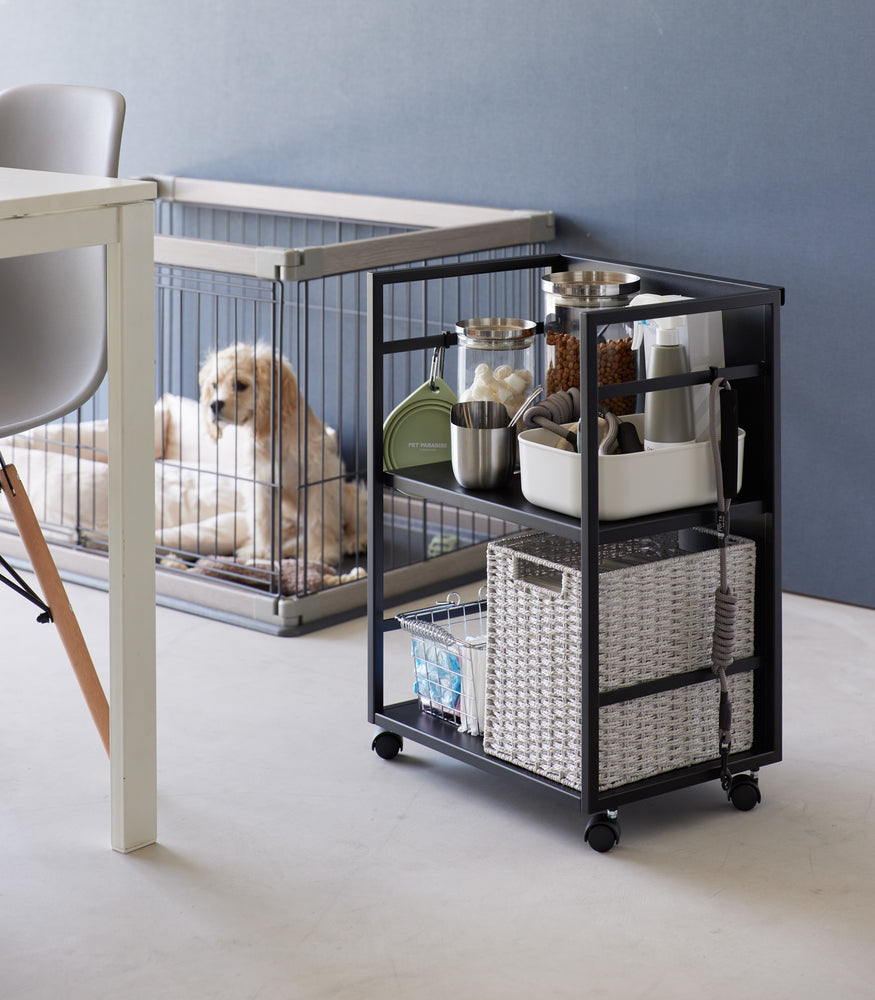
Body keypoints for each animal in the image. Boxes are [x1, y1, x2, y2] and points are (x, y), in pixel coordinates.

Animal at [200, 344, 368, 568]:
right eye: (214, 385)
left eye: (241, 385)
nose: (214, 405)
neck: (275, 437)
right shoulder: (261, 482)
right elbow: (262, 519)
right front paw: (261, 552)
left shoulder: (319, 477)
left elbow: (319, 519)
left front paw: (320, 553)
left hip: (352, 495)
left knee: (353, 524)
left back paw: (355, 541)